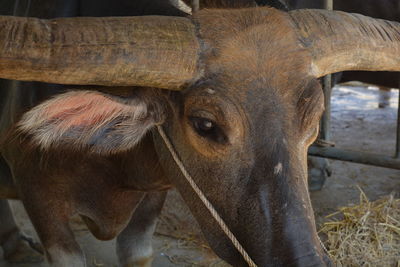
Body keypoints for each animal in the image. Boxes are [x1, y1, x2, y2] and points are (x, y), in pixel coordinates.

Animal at [0, 2, 400, 267]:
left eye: (313, 118)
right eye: (206, 125)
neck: (112, 170)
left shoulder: (153, 196)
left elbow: (137, 252)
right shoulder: (38, 196)